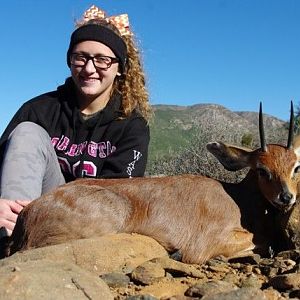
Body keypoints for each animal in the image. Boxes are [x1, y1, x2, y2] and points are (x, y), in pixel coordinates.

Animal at [1, 102, 298, 262]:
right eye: (262, 169)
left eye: (296, 165)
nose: (286, 197)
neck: (238, 199)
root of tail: (28, 214)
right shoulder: (204, 245)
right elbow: (261, 240)